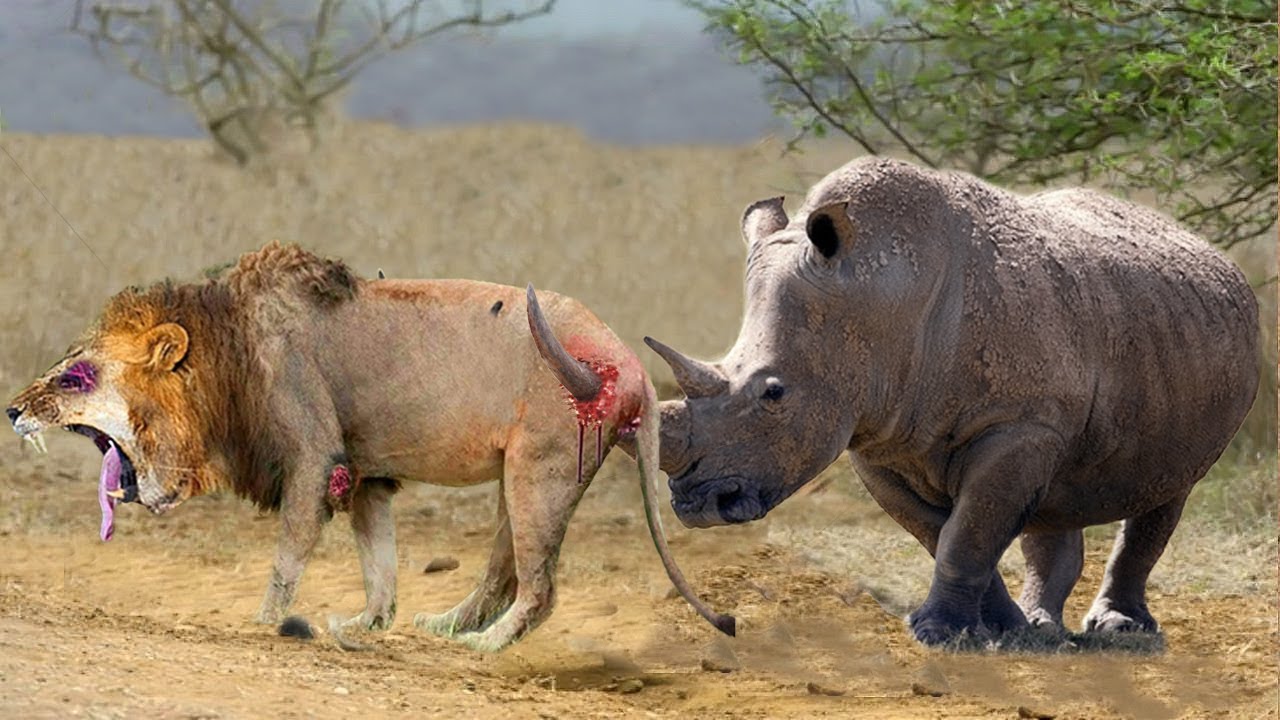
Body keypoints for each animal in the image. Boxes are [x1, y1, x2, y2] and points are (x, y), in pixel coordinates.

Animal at [6, 242, 732, 651]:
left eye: (75, 376)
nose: (11, 409)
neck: (224, 357)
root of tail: (630, 365)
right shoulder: (363, 476)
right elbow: (379, 566)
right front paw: (365, 627)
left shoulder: (314, 457)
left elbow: (288, 557)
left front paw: (261, 624)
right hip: (523, 472)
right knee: (504, 573)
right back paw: (446, 628)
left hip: (541, 467)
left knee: (540, 588)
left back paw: (483, 647)